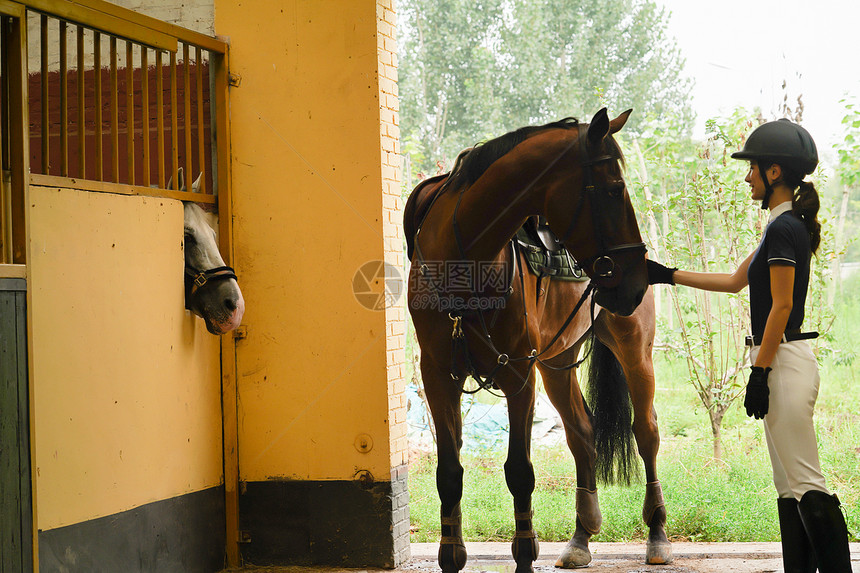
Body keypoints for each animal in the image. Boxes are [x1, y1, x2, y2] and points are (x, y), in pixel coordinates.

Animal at [404, 108, 672, 572]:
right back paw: (581, 537)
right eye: (613, 189)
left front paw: (526, 554)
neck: (464, 255)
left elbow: (519, 472)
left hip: (634, 349)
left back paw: (656, 532)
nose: (637, 278)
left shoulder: (517, 373)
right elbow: (449, 472)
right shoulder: (438, 374)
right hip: (556, 360)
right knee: (582, 433)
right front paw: (451, 553)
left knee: (646, 431)